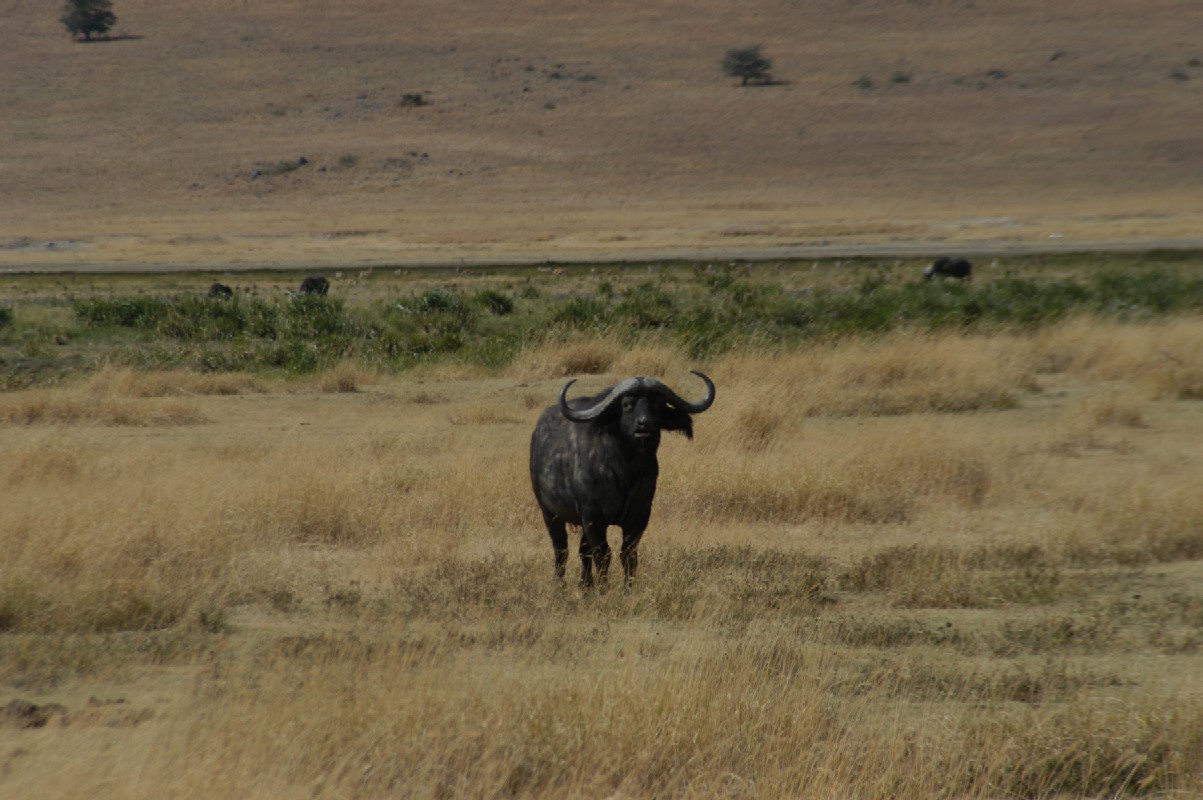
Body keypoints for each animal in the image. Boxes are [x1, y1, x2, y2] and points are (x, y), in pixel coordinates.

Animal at [529, 370, 712, 587]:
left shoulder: (640, 514)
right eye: (626, 404)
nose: (645, 424)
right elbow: (603, 554)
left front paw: (627, 588)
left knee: (583, 551)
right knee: (561, 549)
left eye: (658, 404)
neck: (625, 472)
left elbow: (628, 555)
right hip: (549, 512)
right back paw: (560, 585)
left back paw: (585, 585)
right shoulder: (593, 515)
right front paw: (603, 589)